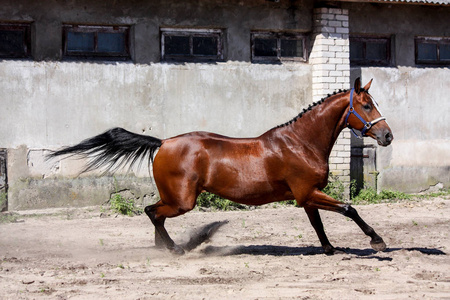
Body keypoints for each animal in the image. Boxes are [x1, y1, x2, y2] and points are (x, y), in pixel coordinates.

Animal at [50, 78, 394, 255]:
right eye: (366, 106)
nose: (387, 135)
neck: (301, 142)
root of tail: (162, 143)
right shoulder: (308, 193)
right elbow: (349, 208)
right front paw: (377, 240)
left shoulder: (307, 196)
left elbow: (318, 225)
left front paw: (329, 249)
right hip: (183, 200)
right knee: (152, 212)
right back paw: (175, 249)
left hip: (176, 198)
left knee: (154, 214)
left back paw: (166, 247)